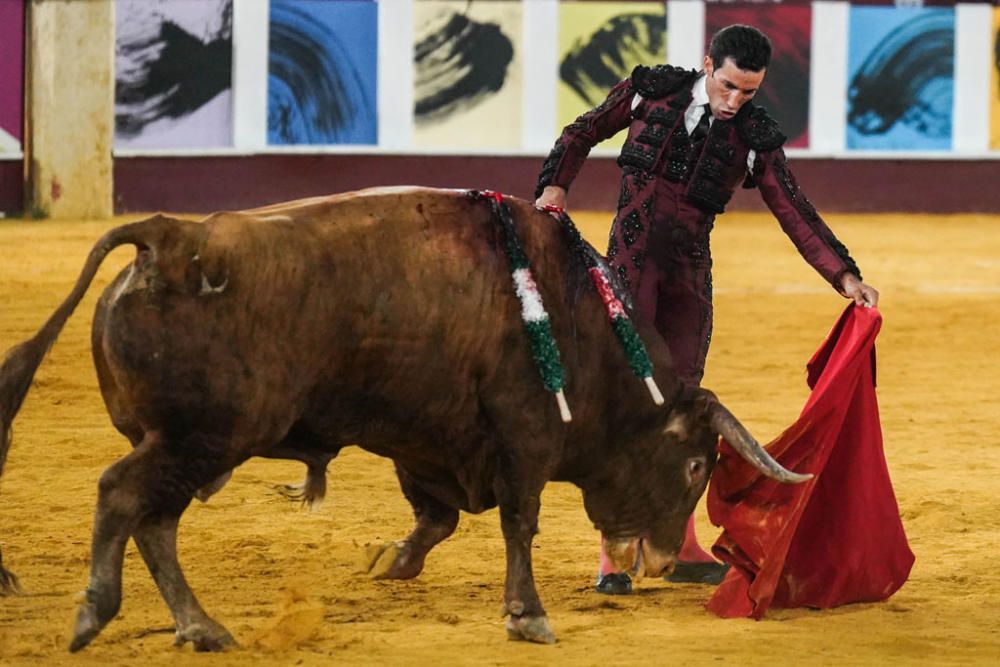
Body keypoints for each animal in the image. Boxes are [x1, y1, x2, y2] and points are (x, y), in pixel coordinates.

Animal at [0, 188, 804, 652]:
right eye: (696, 464)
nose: (665, 559)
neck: (574, 316)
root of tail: (168, 240)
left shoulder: (430, 436)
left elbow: (438, 516)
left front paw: (393, 558)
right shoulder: (524, 435)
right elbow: (519, 521)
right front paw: (527, 614)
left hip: (193, 442)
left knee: (155, 522)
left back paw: (201, 627)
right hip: (203, 435)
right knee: (123, 497)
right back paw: (97, 613)